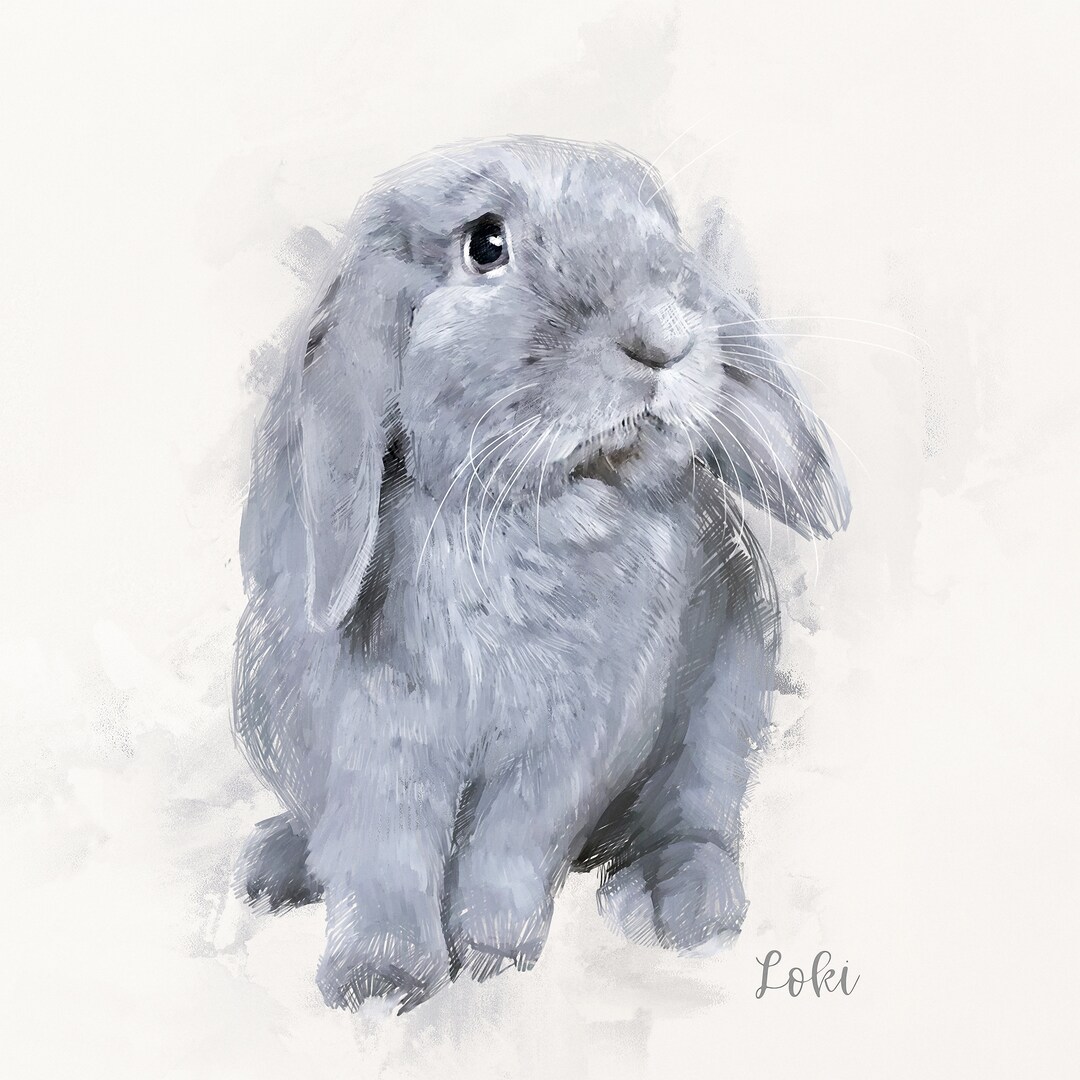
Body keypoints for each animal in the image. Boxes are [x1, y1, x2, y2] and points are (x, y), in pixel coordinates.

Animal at [232, 135, 850, 1013]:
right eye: (486, 244)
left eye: (667, 238)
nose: (667, 337)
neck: (532, 513)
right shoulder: (376, 740)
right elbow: (383, 854)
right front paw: (380, 985)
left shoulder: (568, 749)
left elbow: (510, 849)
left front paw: (493, 959)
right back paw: (272, 866)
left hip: (727, 702)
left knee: (696, 814)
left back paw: (684, 908)